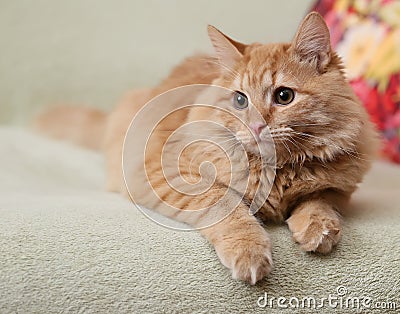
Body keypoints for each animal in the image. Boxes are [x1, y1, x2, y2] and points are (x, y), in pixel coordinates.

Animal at [35, 12, 378, 284]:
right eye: (239, 100)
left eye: (284, 96)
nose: (255, 127)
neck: (276, 171)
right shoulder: (168, 174)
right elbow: (226, 207)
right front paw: (249, 252)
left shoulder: (339, 187)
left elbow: (319, 201)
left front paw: (319, 229)